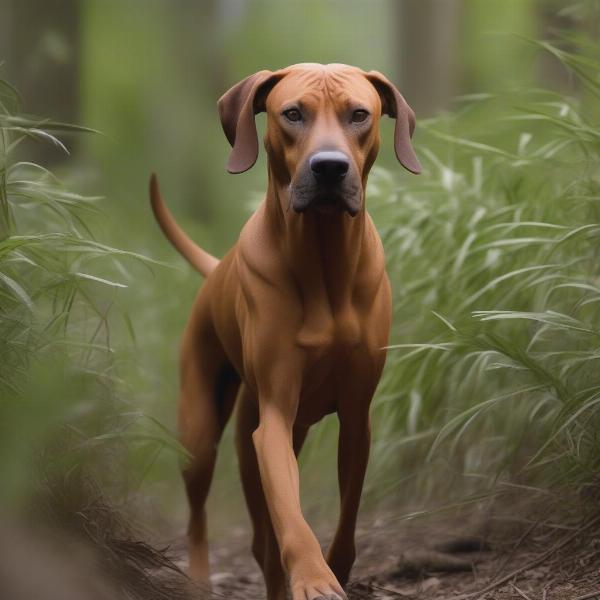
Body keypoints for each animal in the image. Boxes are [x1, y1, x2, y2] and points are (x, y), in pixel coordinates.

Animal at [150, 62, 420, 600]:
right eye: (293, 114)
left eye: (359, 114)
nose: (330, 168)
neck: (324, 257)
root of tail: (216, 270)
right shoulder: (274, 418)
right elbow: (291, 519)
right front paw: (314, 578)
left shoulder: (356, 416)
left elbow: (348, 515)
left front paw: (336, 568)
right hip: (201, 430)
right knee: (202, 514)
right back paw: (200, 576)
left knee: (261, 537)